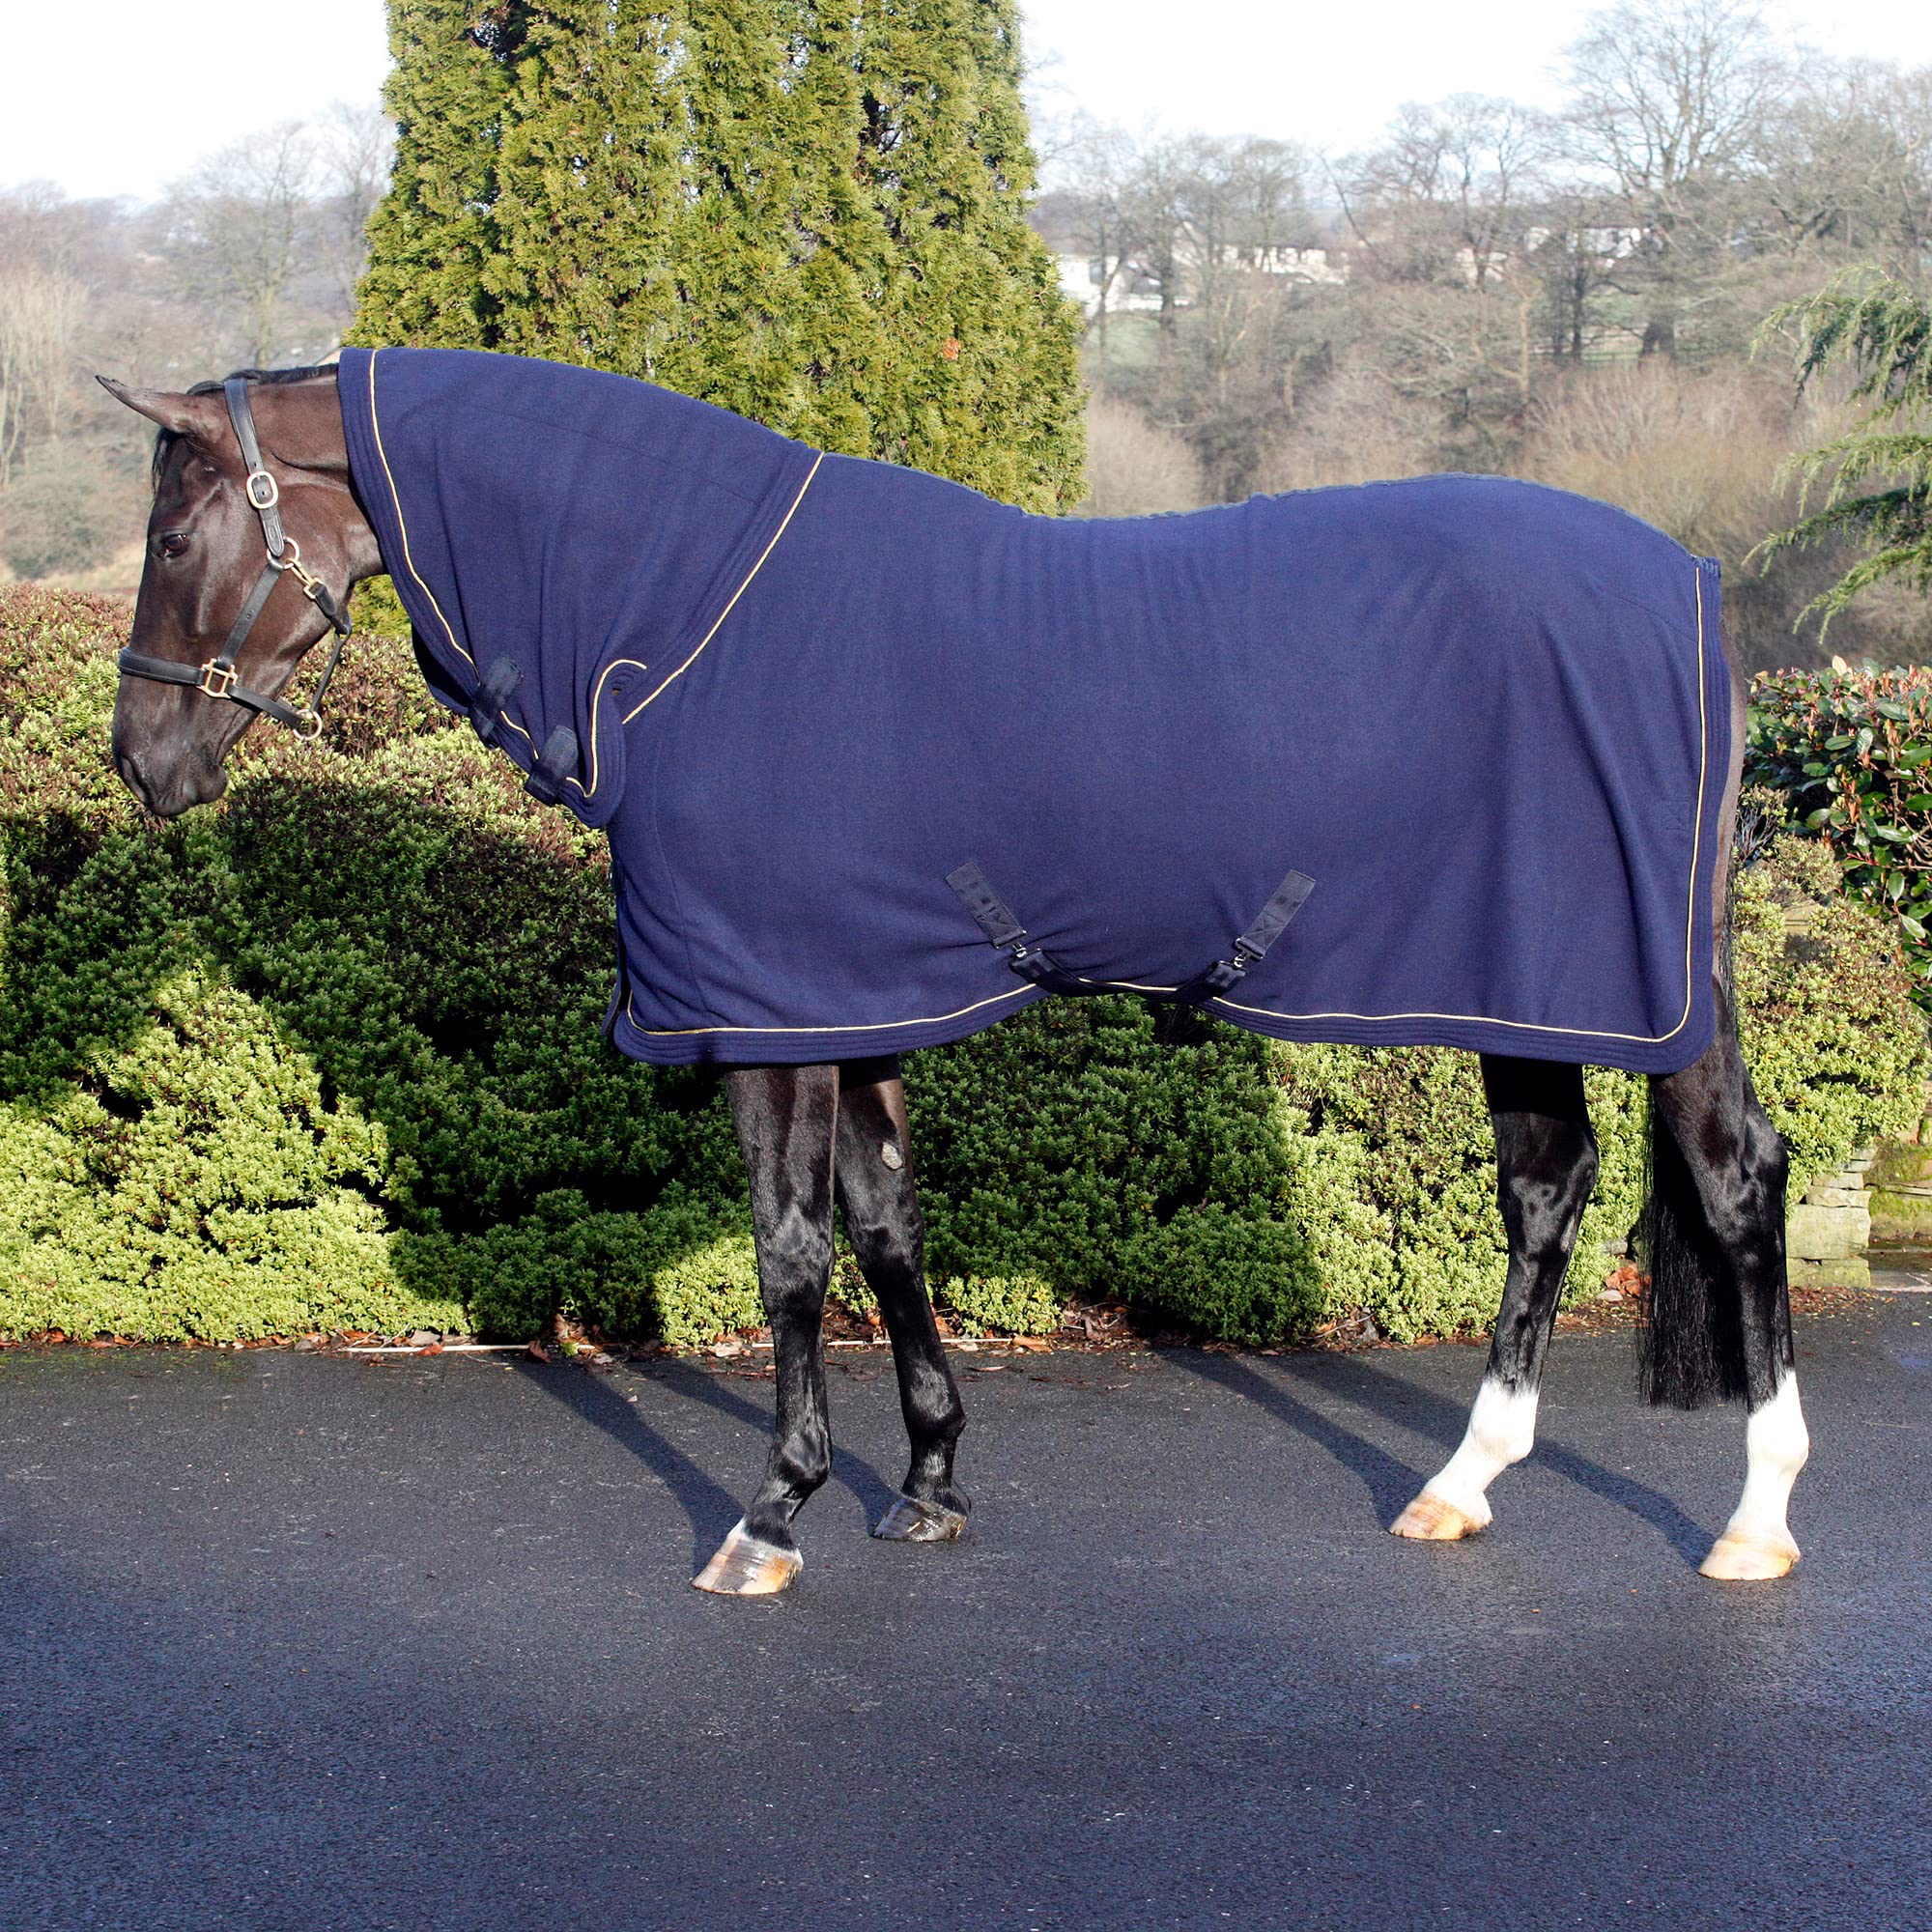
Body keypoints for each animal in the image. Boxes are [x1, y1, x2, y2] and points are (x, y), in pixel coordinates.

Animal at [98, 352, 1807, 1594]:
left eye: (176, 537)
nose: (143, 759)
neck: (695, 615)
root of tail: (1694, 596)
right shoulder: (859, 999)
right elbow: (887, 1229)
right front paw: (925, 1482)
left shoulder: (773, 1015)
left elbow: (792, 1253)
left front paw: (772, 1515)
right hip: (1530, 988)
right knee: (1549, 1184)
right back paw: (1462, 1485)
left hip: (1639, 991)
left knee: (1733, 1183)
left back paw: (1756, 1520)